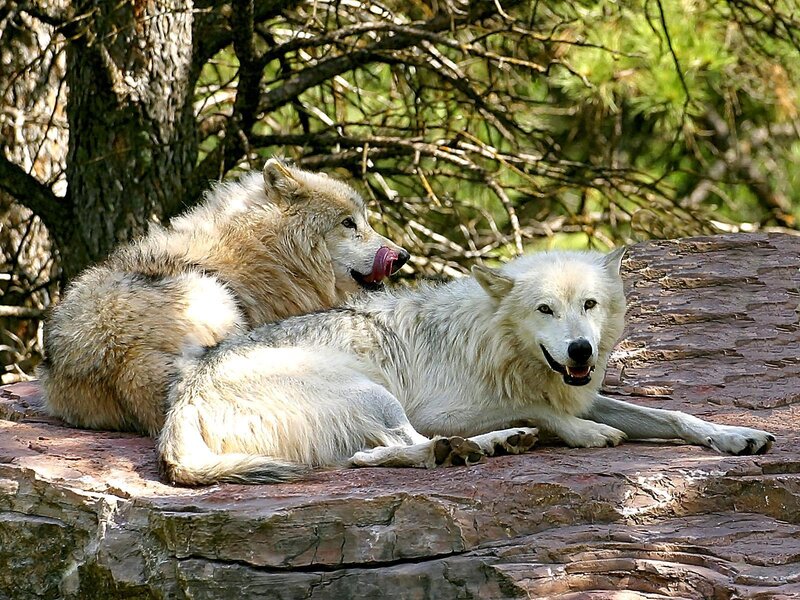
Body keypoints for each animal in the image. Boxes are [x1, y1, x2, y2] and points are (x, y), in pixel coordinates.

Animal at [40, 159, 408, 436]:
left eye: (365, 220)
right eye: (348, 223)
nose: (402, 256)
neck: (266, 250)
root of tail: (123, 356)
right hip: (215, 297)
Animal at [158, 247, 775, 485]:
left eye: (589, 305)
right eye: (545, 309)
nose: (581, 351)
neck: (501, 345)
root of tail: (181, 404)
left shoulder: (578, 388)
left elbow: (673, 417)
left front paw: (734, 435)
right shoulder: (446, 407)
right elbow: (538, 410)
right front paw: (584, 433)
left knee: (369, 455)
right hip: (375, 394)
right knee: (396, 448)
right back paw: (483, 445)